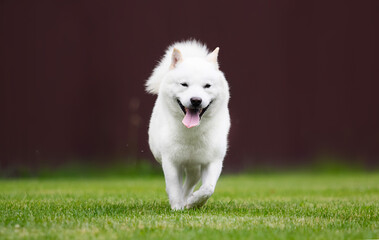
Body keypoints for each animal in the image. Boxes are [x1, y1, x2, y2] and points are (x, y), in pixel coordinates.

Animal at [146, 40, 232, 209]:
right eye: (184, 84)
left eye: (207, 86)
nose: (196, 100)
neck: (192, 132)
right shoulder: (171, 162)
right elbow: (174, 188)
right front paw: (177, 207)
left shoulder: (213, 161)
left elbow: (208, 189)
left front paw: (194, 201)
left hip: (195, 166)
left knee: (191, 181)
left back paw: (188, 199)